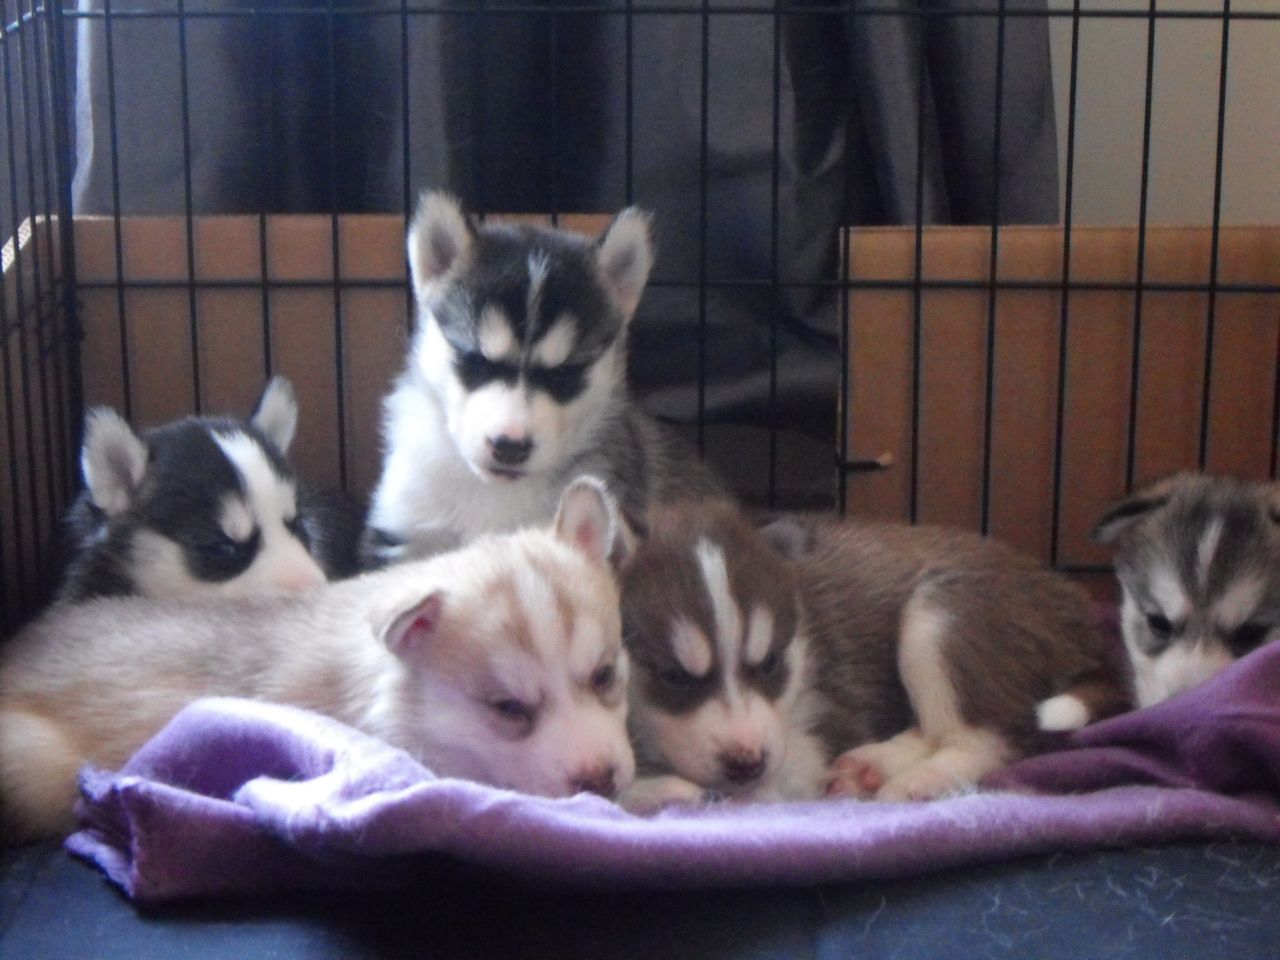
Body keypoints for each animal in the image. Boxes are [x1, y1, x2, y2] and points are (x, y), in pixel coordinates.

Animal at [622, 504, 1131, 814]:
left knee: (988, 736)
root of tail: (1071, 602)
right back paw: (872, 766)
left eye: (769, 664)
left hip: (939, 616)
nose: (747, 763)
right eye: (673, 676)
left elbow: (784, 770)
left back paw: (917, 779)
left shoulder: (830, 715)